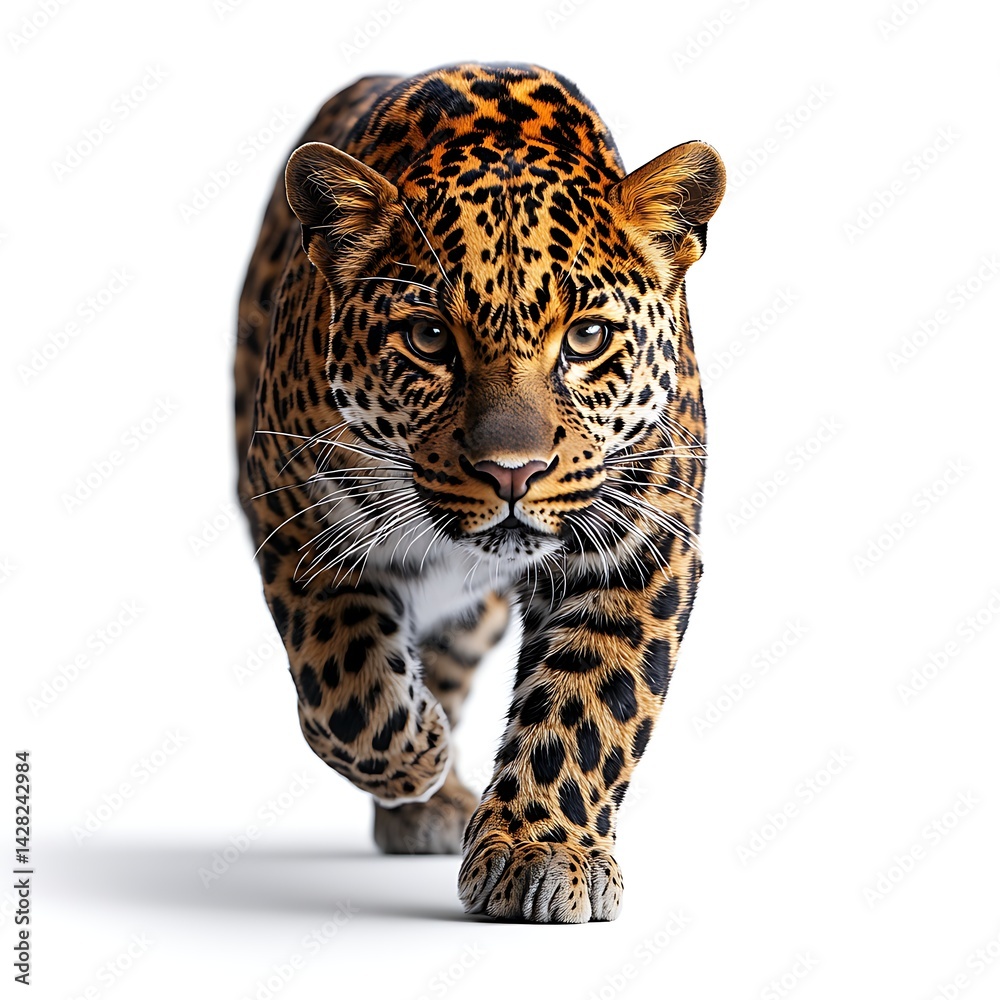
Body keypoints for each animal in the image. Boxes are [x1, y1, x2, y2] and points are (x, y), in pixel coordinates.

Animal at [234, 62, 725, 923]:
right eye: (430, 338)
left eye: (586, 338)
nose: (512, 472)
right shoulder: (293, 512)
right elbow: (346, 683)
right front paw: (412, 756)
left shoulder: (642, 547)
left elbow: (587, 706)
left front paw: (544, 851)